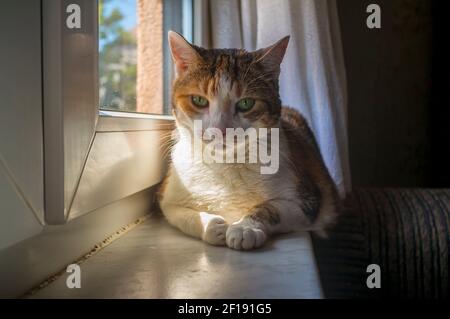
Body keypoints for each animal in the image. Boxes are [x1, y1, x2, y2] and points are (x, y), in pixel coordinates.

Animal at [158, 31, 338, 251]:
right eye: (199, 100)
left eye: (246, 103)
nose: (220, 130)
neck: (225, 163)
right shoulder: (168, 197)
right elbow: (181, 214)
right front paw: (212, 225)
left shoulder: (308, 202)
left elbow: (270, 207)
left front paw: (245, 227)